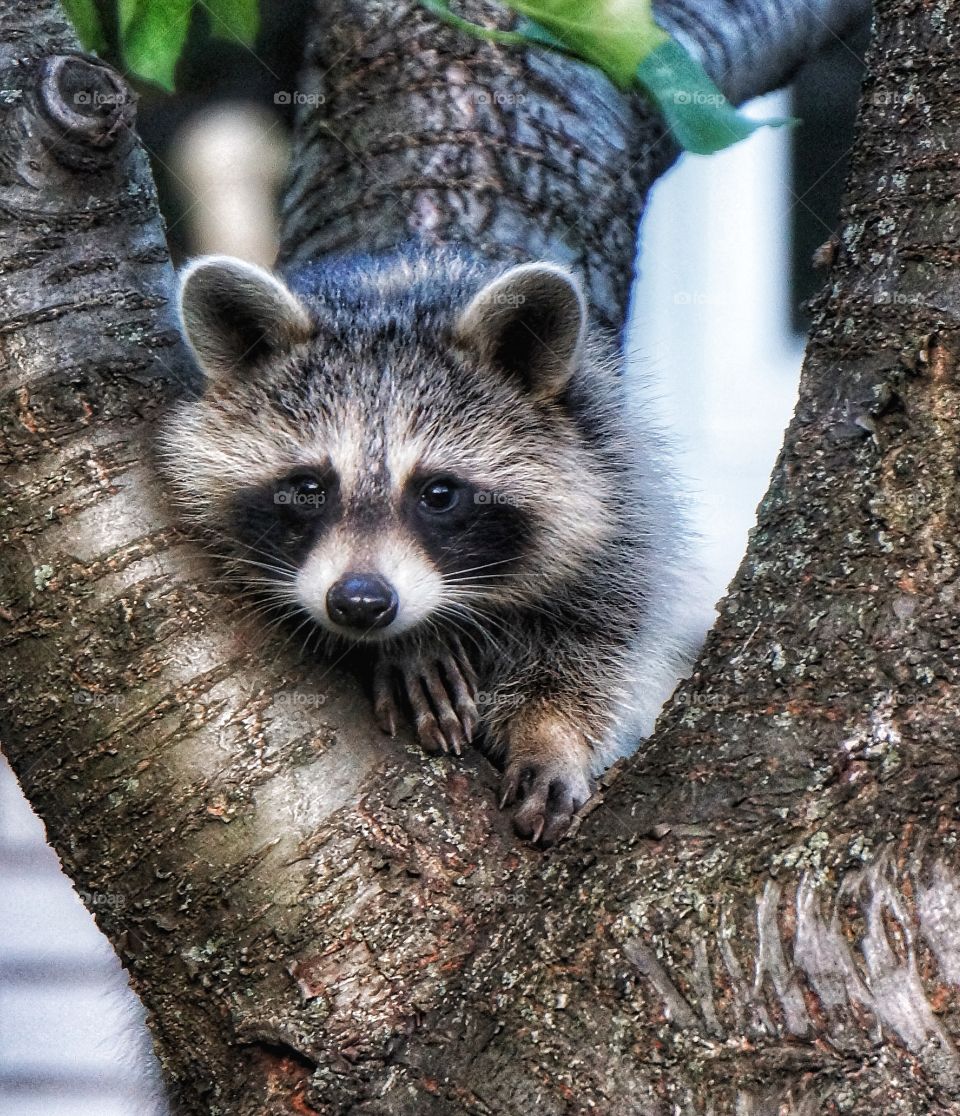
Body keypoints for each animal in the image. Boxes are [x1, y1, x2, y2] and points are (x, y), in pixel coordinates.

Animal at [160, 251, 692, 843]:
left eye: (438, 494)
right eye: (308, 489)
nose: (360, 601)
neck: (393, 294)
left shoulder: (615, 502)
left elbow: (594, 644)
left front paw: (553, 738)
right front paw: (414, 644)